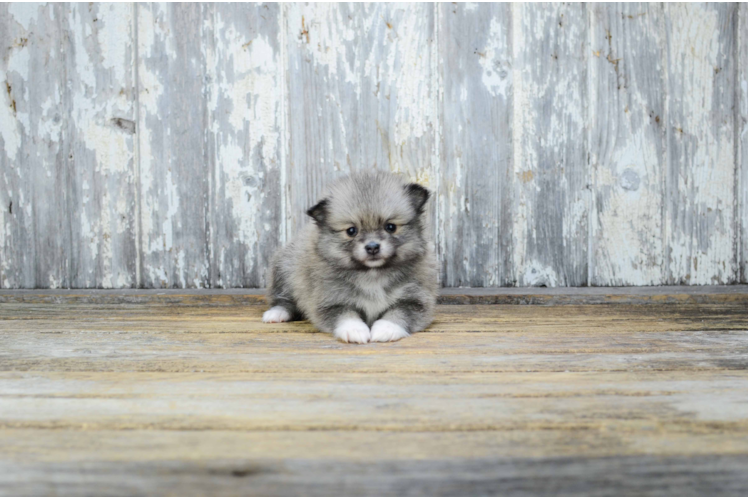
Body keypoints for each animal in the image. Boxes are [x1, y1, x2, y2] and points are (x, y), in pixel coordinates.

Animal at [262, 172, 438, 344]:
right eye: (351, 231)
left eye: (390, 227)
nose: (372, 247)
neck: (372, 274)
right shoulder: (330, 300)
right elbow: (346, 315)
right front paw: (355, 331)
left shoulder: (415, 300)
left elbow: (399, 313)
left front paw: (386, 329)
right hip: (284, 270)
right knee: (283, 300)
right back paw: (276, 313)